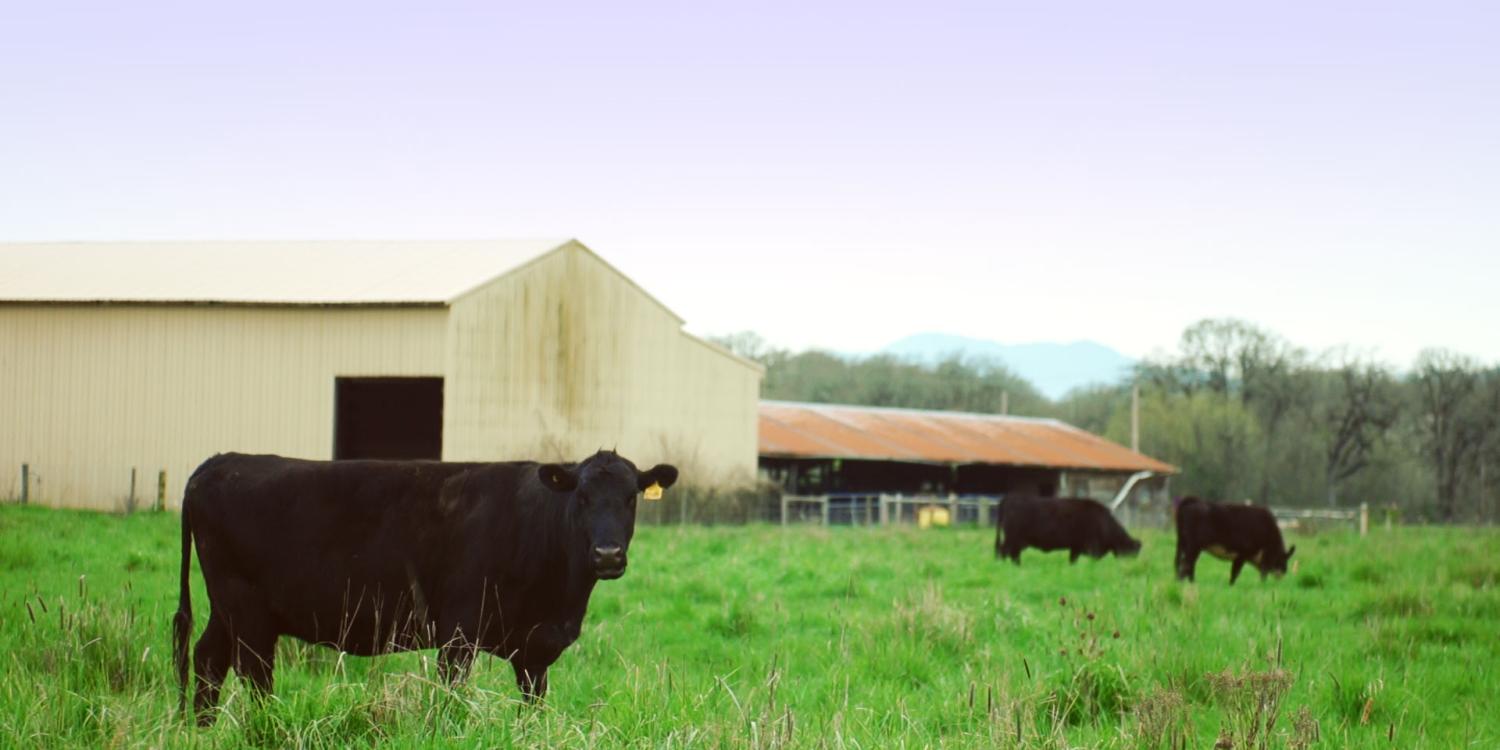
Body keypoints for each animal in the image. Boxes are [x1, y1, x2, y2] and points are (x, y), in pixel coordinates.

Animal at [172, 450, 677, 725]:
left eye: (631, 498)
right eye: (582, 496)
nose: (607, 555)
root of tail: (220, 462)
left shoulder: (534, 650)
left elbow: (532, 708)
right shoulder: (459, 632)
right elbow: (451, 698)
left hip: (229, 610)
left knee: (208, 660)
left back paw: (203, 730)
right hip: (247, 611)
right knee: (253, 675)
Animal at [993, 495, 1142, 565]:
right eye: (1131, 552)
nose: (1130, 564)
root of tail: (1010, 497)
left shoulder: (1075, 547)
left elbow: (1072, 560)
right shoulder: (1092, 547)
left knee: (1010, 554)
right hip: (1013, 539)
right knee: (1005, 552)